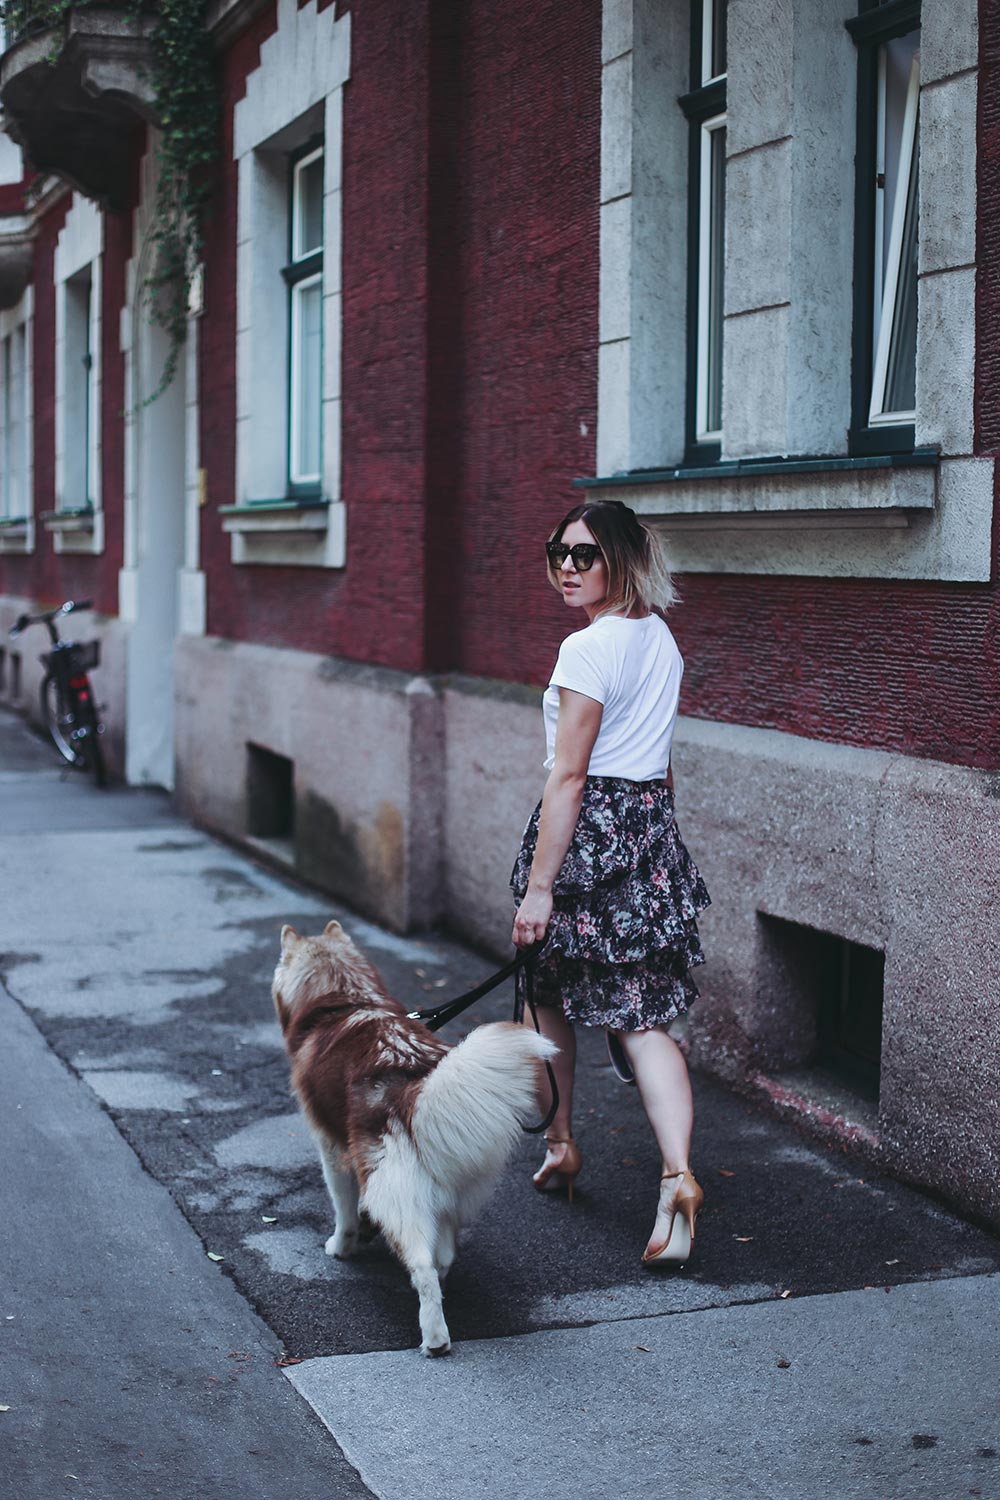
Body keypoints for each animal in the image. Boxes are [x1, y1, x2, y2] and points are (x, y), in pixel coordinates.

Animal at [274, 918, 554, 1356]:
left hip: (392, 1188)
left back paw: (435, 1337)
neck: (345, 998)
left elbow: (343, 1209)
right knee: (443, 1256)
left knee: (423, 1266)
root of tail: (413, 1083)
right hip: (449, 1188)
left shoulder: (332, 1148)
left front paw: (342, 1245)